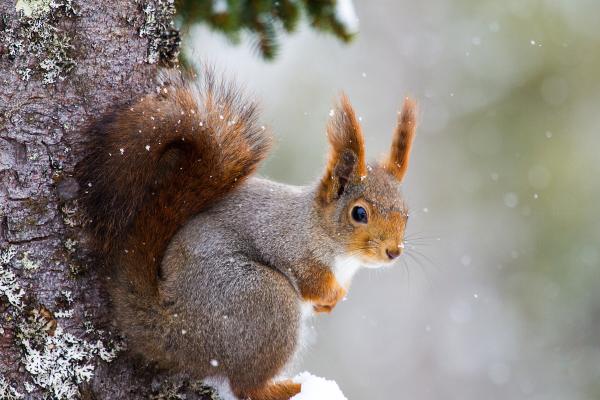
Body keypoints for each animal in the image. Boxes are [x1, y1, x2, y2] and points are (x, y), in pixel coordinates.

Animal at [78, 69, 418, 400]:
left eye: (407, 214)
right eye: (359, 213)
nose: (393, 252)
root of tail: (180, 328)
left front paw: (331, 303)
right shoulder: (288, 243)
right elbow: (310, 279)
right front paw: (330, 294)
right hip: (265, 299)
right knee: (246, 387)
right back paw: (288, 389)